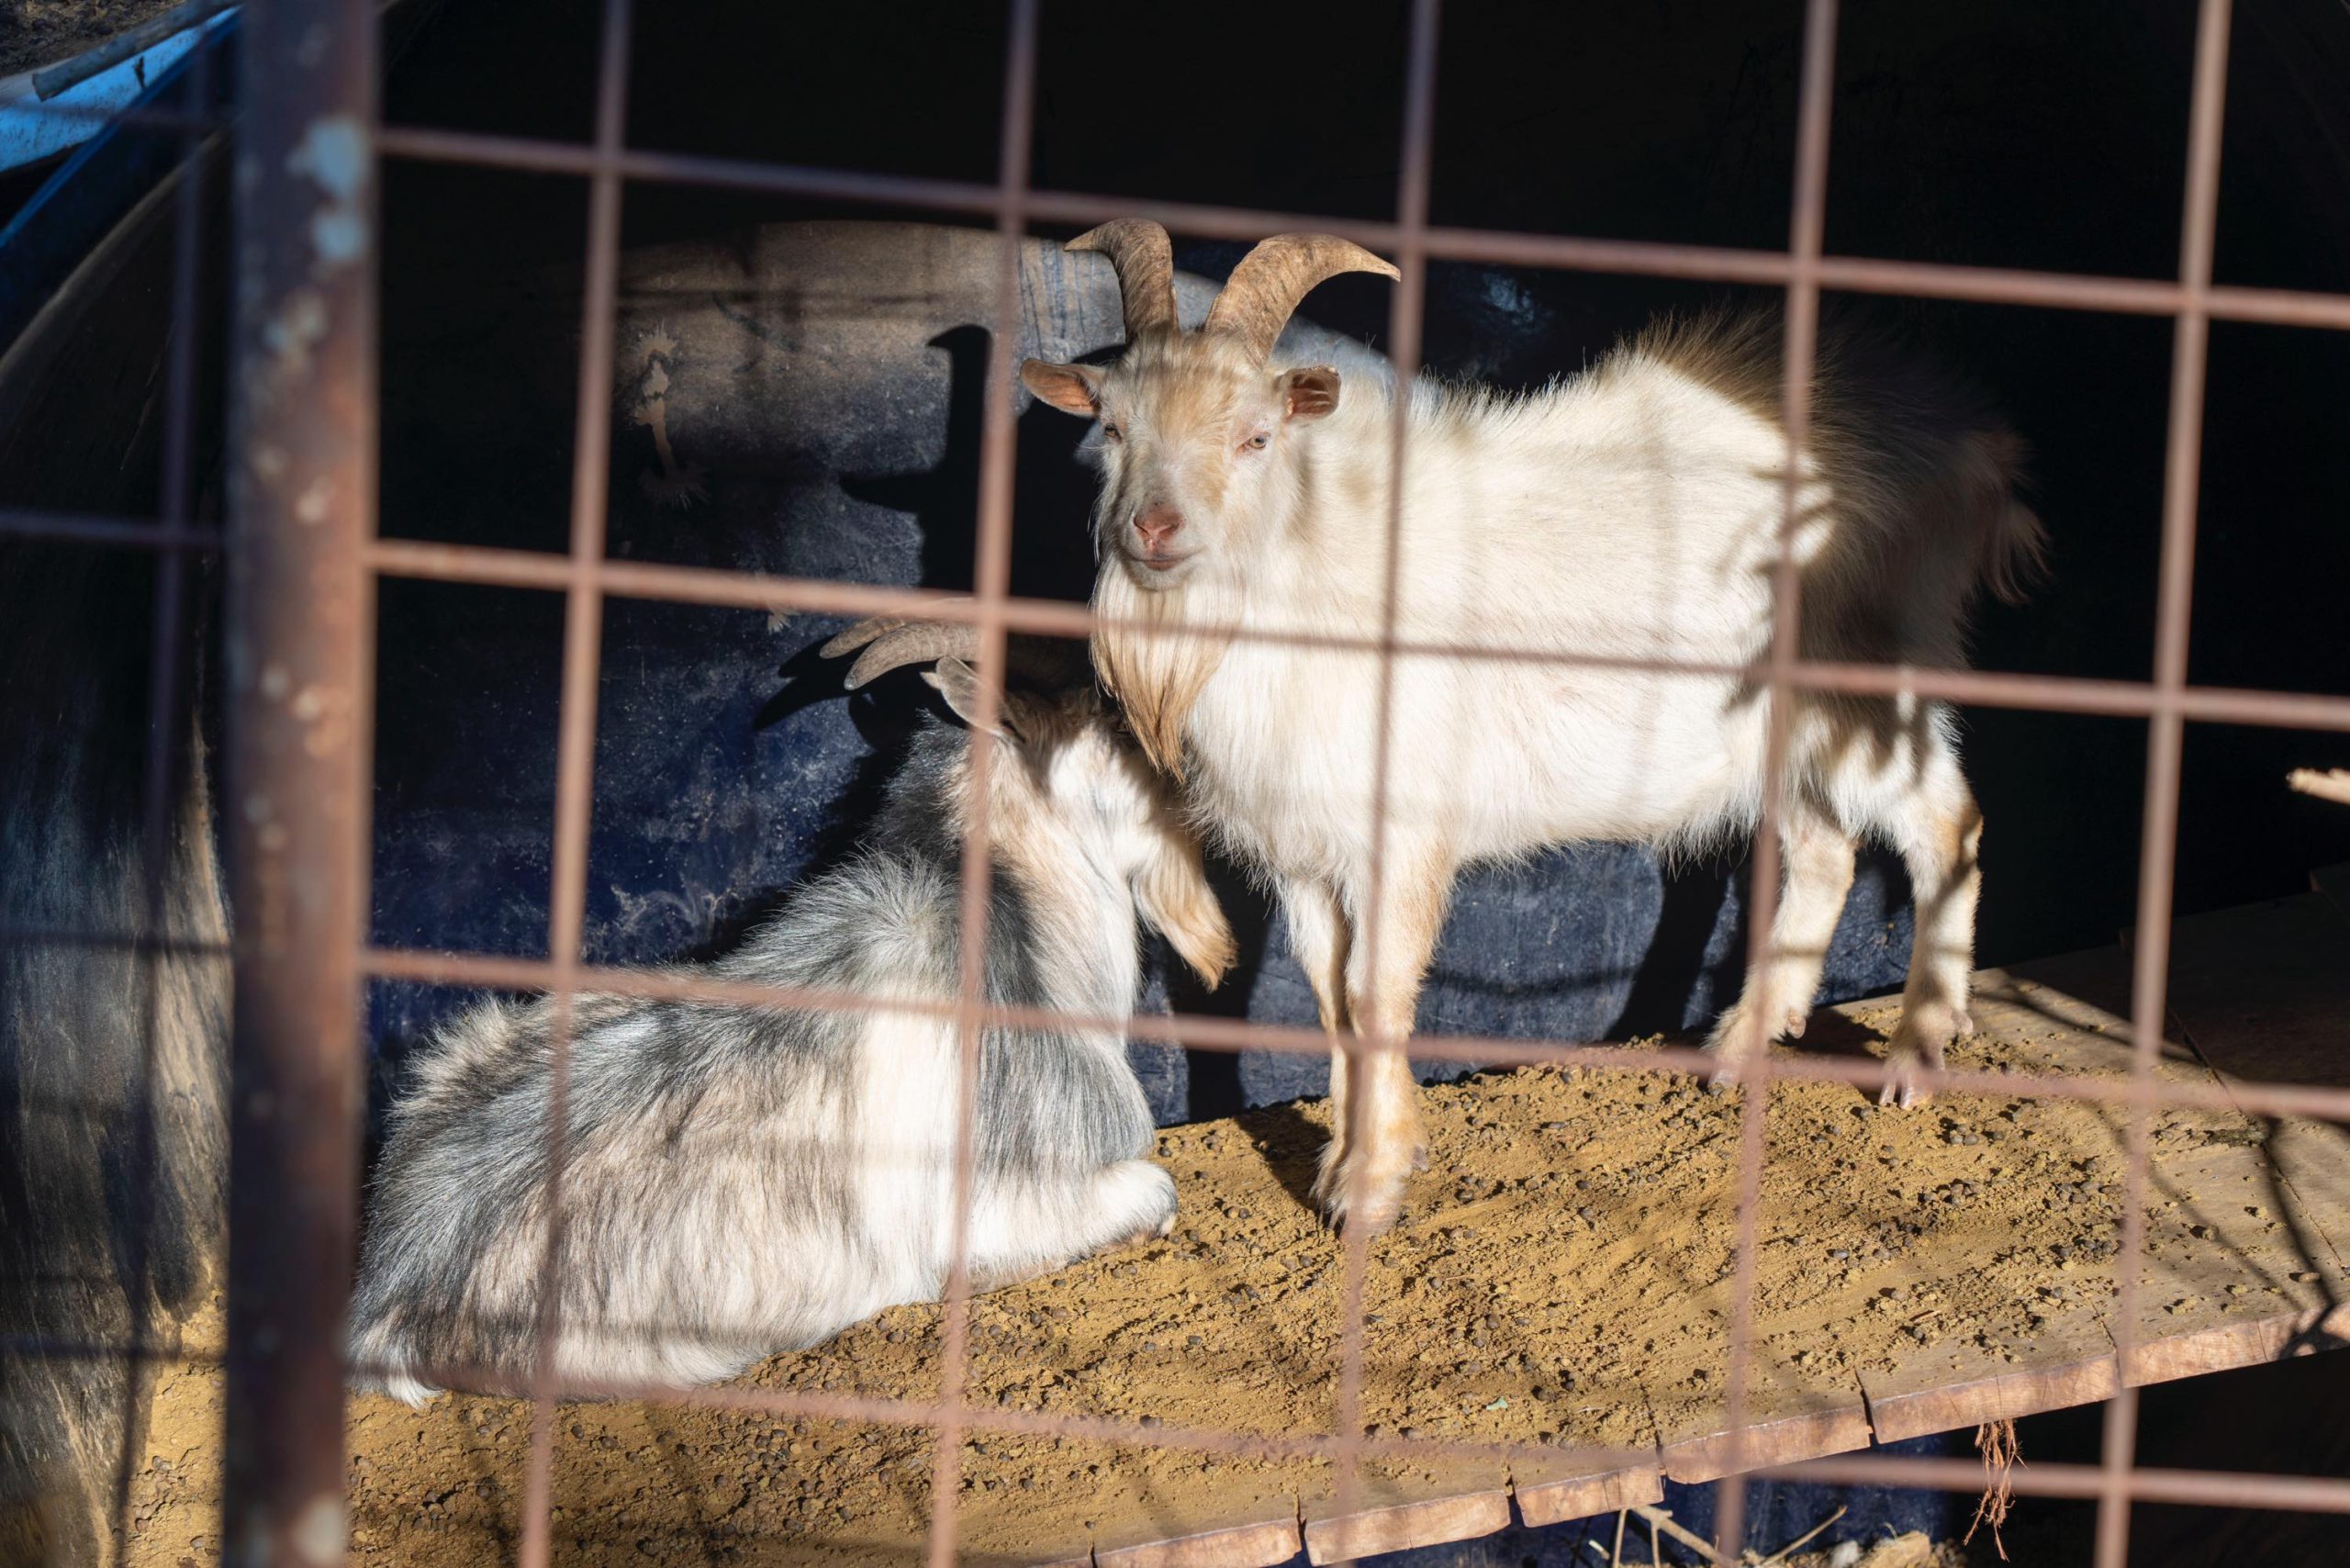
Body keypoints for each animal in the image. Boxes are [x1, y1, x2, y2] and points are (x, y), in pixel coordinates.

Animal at [1020, 220, 2049, 1241]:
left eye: (1255, 437)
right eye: (1112, 430)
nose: (1153, 530)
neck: (1312, 557)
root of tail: (1973, 444)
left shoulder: (1402, 833)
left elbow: (1375, 991)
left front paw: (1370, 1188)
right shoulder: (1306, 849)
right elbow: (1325, 994)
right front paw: (1363, 1158)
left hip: (1870, 687)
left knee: (1947, 824)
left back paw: (1917, 1051)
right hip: (1776, 734)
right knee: (1826, 853)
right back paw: (1741, 1043)